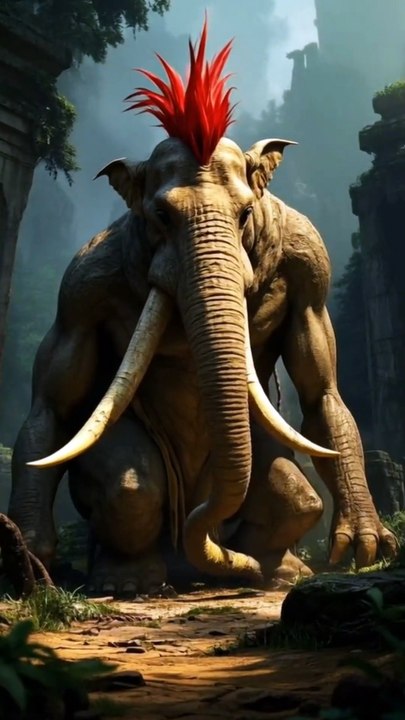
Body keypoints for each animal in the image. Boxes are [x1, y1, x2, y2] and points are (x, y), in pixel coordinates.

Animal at [8, 24, 396, 595]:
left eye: (246, 213)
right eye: (160, 216)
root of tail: (187, 568)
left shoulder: (312, 267)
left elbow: (321, 390)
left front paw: (365, 548)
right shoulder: (80, 288)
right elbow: (54, 406)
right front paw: (31, 555)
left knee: (297, 498)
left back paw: (276, 572)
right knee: (133, 491)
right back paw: (134, 581)